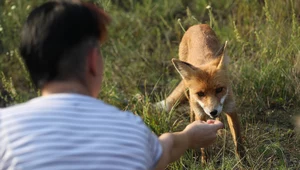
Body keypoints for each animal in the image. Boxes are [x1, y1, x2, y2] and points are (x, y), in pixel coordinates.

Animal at [157, 23, 246, 163]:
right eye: (200, 94)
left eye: (219, 89)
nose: (213, 112)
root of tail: (197, 25)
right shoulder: (201, 114)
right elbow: (204, 148)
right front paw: (206, 163)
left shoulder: (231, 109)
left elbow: (238, 142)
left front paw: (244, 163)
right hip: (189, 94)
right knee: (191, 111)